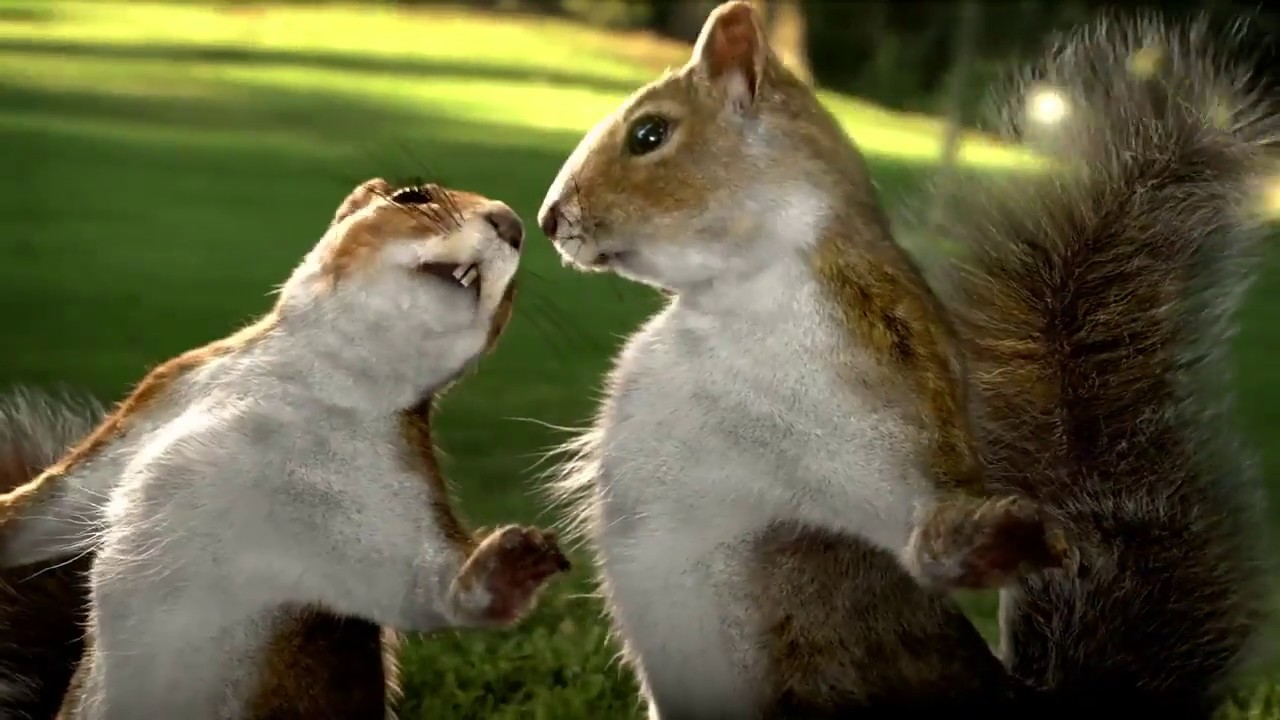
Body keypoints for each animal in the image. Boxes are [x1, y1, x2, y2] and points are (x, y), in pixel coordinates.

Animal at [0, 178, 571, 719]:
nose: (512, 224)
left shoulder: (396, 504)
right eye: (413, 196)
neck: (320, 382)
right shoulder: (160, 398)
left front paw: (508, 566)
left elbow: (430, 585)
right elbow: (57, 502)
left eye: (513, 293)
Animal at [538, 1, 1273, 717]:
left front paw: (995, 543)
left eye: (649, 135)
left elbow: (929, 521)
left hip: (793, 575)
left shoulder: (906, 390)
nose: (550, 218)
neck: (744, 298)